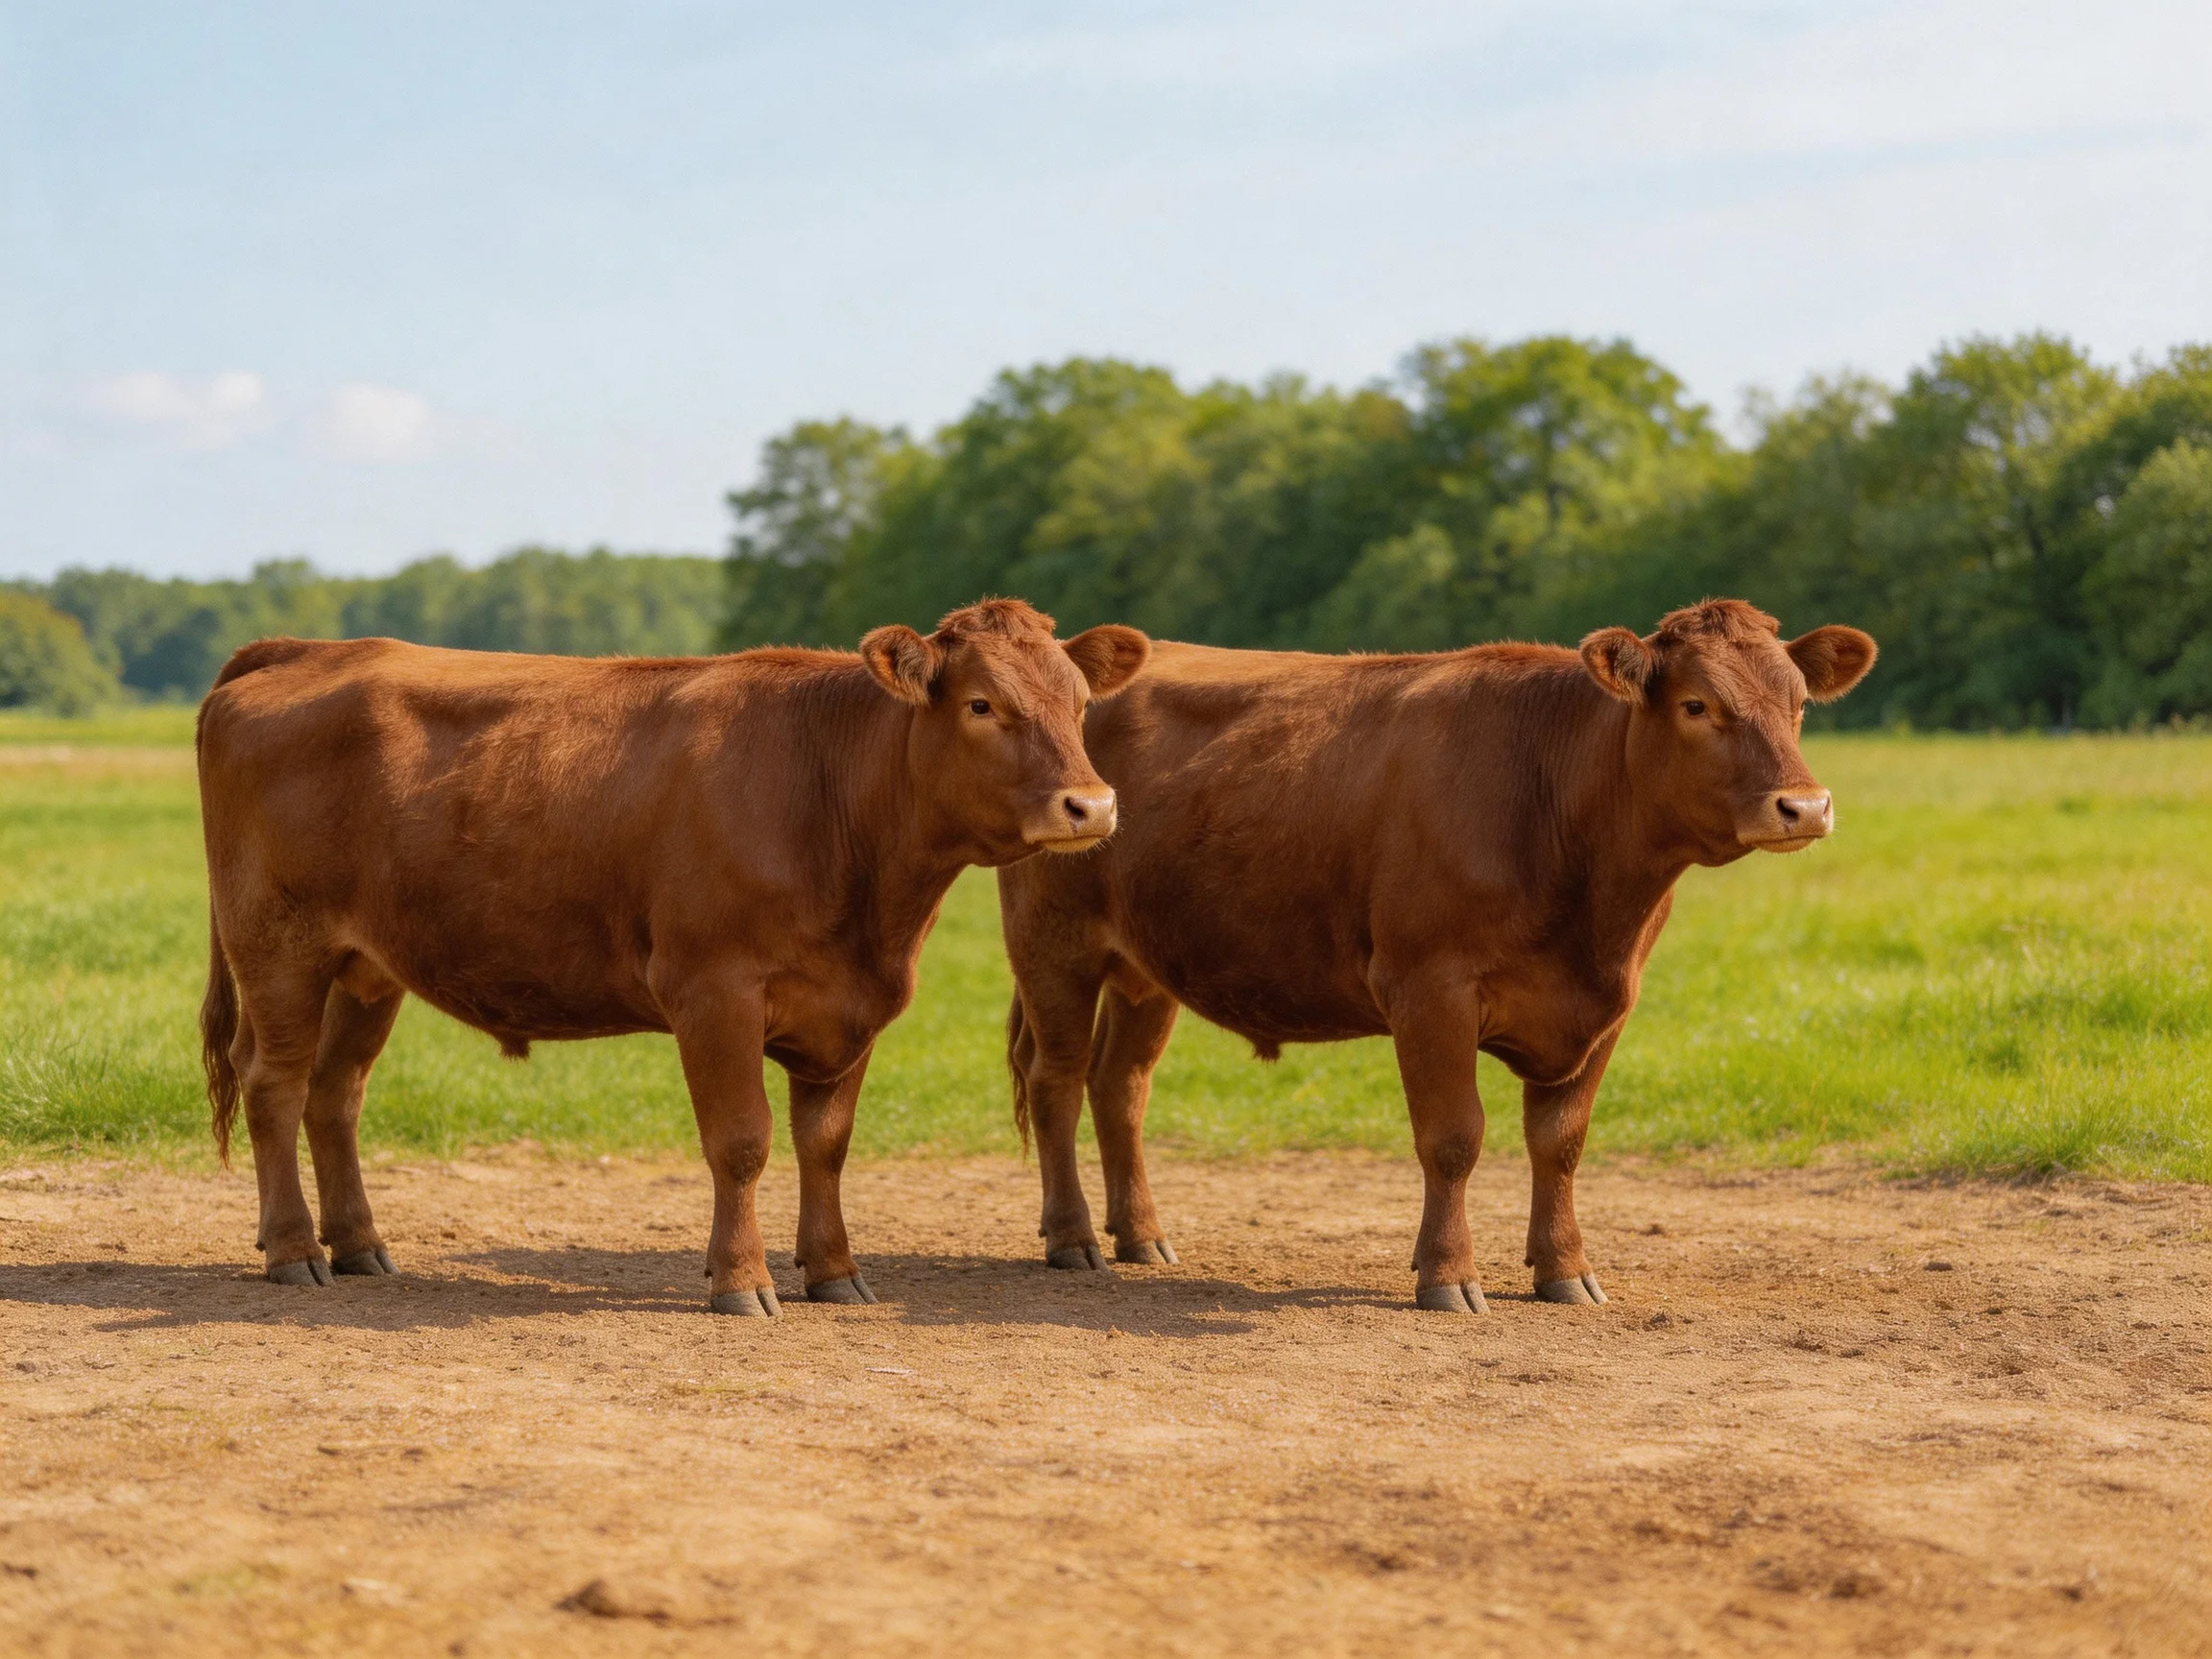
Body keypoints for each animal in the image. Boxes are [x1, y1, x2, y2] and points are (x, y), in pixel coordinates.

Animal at [197, 599, 1150, 1314]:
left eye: (1079, 703)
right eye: (981, 704)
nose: (1093, 805)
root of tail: (305, 649)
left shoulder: (854, 1006)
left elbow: (826, 1144)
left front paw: (835, 1273)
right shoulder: (712, 991)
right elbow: (742, 1141)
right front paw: (742, 1281)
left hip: (366, 968)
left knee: (335, 1092)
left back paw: (359, 1245)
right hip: (278, 947)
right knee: (274, 1083)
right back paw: (293, 1252)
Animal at [999, 599, 1876, 1311]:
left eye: (1798, 703)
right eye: (1697, 704)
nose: (1805, 806)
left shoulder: (1609, 1004)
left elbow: (1561, 1143)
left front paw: (1565, 1270)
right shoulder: (1429, 991)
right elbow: (1454, 1138)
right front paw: (1449, 1276)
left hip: (1147, 970)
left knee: (1121, 1086)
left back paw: (1141, 1235)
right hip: (1054, 943)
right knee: (1058, 1081)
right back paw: (1073, 1238)